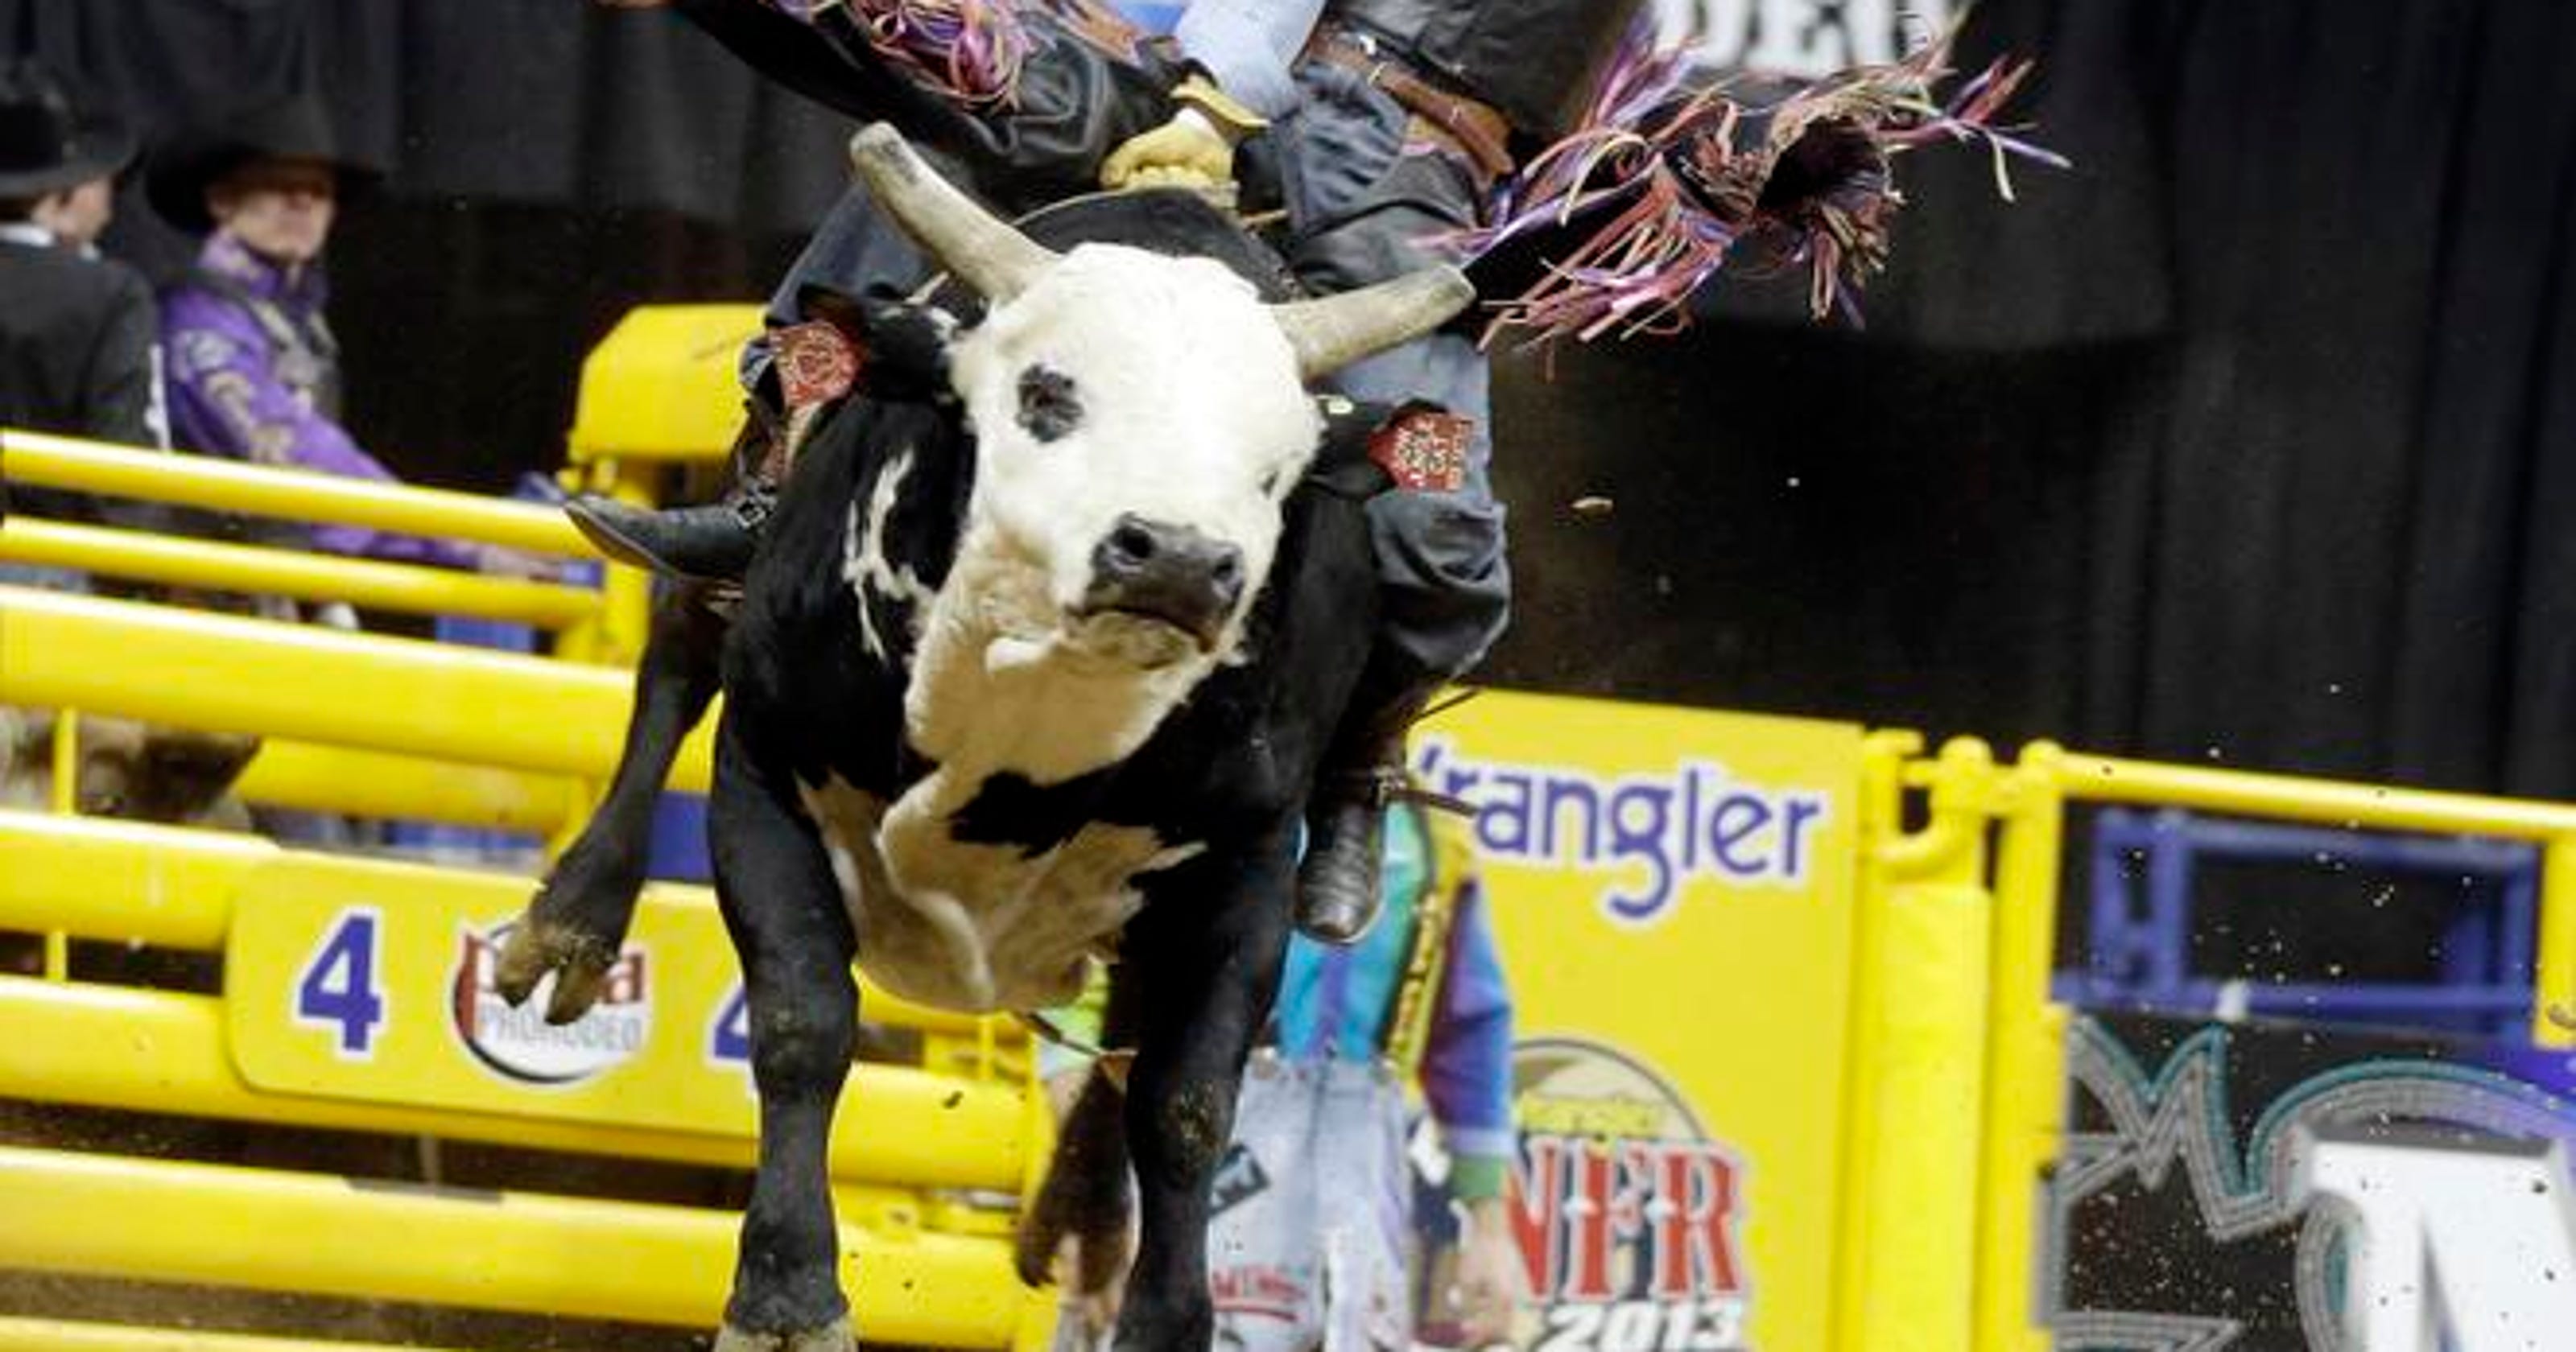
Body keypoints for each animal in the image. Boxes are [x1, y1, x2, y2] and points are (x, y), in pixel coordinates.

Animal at [505, 124, 1471, 1352]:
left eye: (1278, 464)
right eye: (1048, 393)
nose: (1176, 559)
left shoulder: (1245, 870)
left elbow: (1187, 1106)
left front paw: (1163, 1321)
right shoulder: (763, 778)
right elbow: (802, 1023)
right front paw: (785, 1299)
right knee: (675, 652)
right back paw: (572, 923)